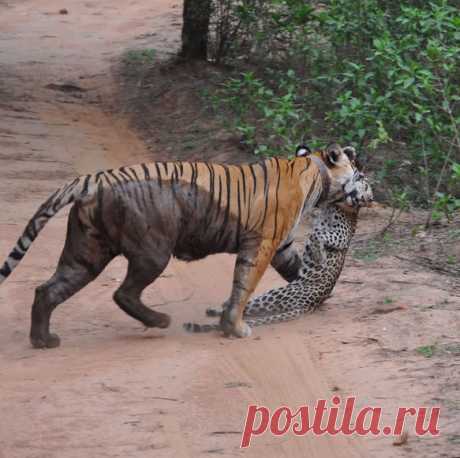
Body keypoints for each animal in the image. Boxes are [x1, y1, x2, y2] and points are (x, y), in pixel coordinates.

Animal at [0, 143, 366, 348]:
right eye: (357, 170)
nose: (364, 180)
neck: (316, 175)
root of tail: (96, 179)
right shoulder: (262, 244)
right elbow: (243, 286)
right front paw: (234, 327)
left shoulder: (282, 245)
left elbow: (296, 270)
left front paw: (314, 296)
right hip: (152, 251)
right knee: (123, 293)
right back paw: (160, 321)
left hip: (86, 252)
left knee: (47, 290)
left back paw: (43, 341)